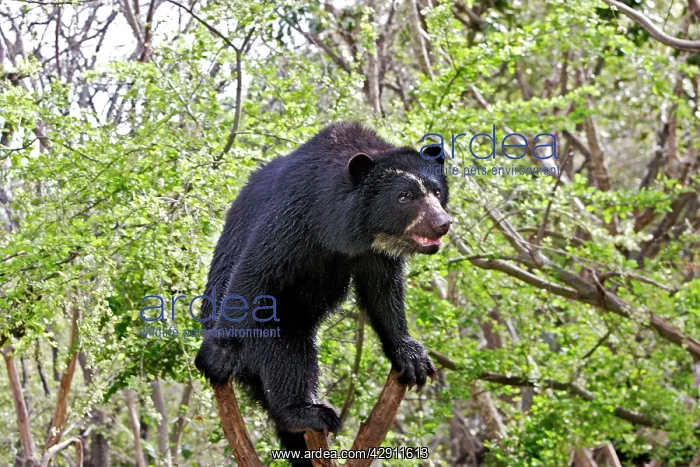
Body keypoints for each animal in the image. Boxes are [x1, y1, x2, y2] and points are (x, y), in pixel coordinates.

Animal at [194, 121, 450, 463]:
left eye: (437, 192)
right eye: (405, 196)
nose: (442, 223)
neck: (344, 229)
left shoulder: (374, 254)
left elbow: (384, 293)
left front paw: (412, 358)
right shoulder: (296, 213)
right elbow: (256, 268)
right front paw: (217, 355)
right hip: (272, 327)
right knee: (286, 356)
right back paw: (307, 412)